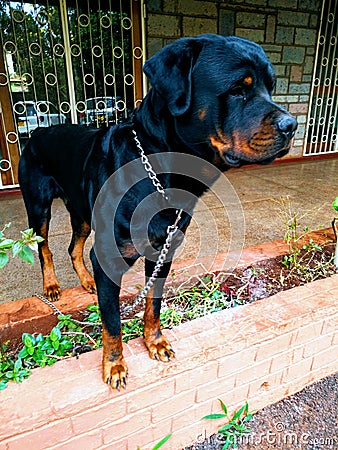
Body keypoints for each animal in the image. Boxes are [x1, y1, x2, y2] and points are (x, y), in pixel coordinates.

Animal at [19, 33, 298, 388]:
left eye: (270, 87)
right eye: (238, 89)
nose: (293, 125)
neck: (163, 170)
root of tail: (39, 130)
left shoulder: (164, 251)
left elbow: (154, 303)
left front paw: (155, 342)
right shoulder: (109, 254)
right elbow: (112, 320)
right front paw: (114, 365)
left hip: (81, 209)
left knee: (74, 245)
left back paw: (85, 280)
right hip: (38, 206)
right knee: (44, 248)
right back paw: (52, 286)